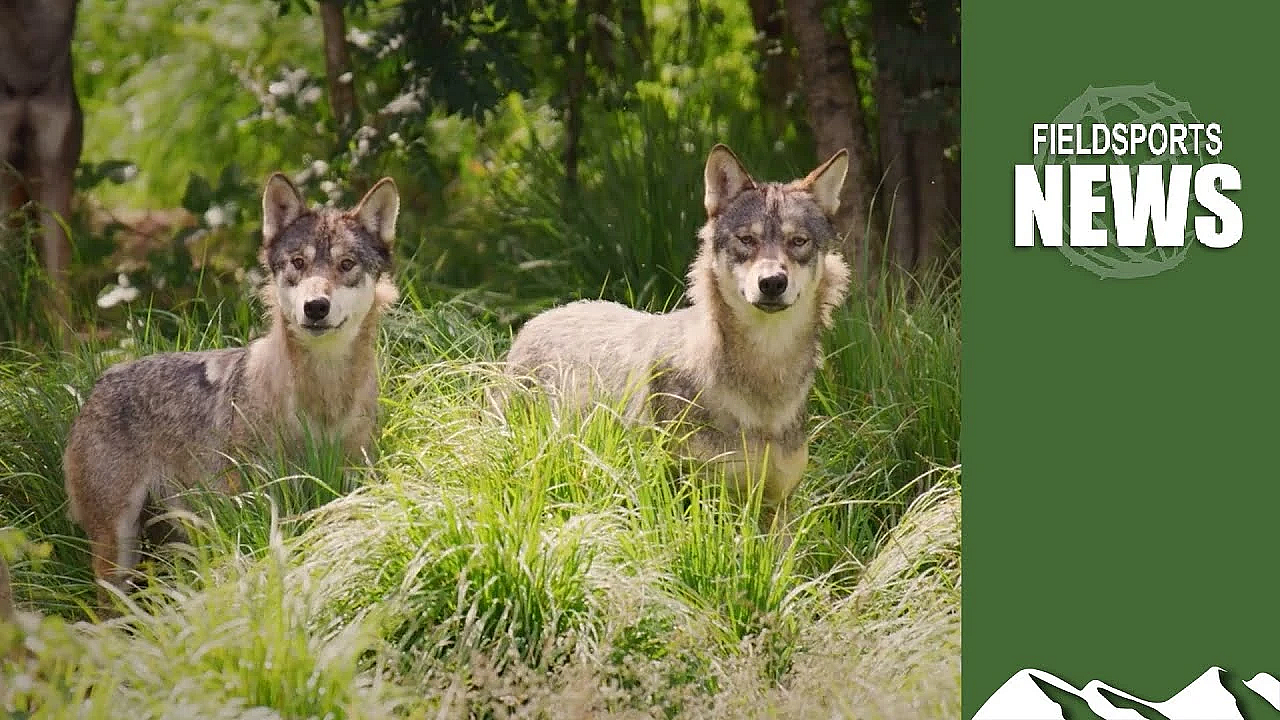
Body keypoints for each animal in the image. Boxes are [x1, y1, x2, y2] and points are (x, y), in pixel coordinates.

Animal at [63, 174, 400, 604]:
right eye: (298, 263)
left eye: (346, 265)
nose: (315, 307)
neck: (322, 402)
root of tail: (97, 385)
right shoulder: (257, 505)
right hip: (119, 549)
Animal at [501, 144, 852, 530]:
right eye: (747, 240)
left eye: (798, 242)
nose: (772, 282)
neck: (764, 389)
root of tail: (538, 319)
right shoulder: (687, 499)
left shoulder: (779, 508)